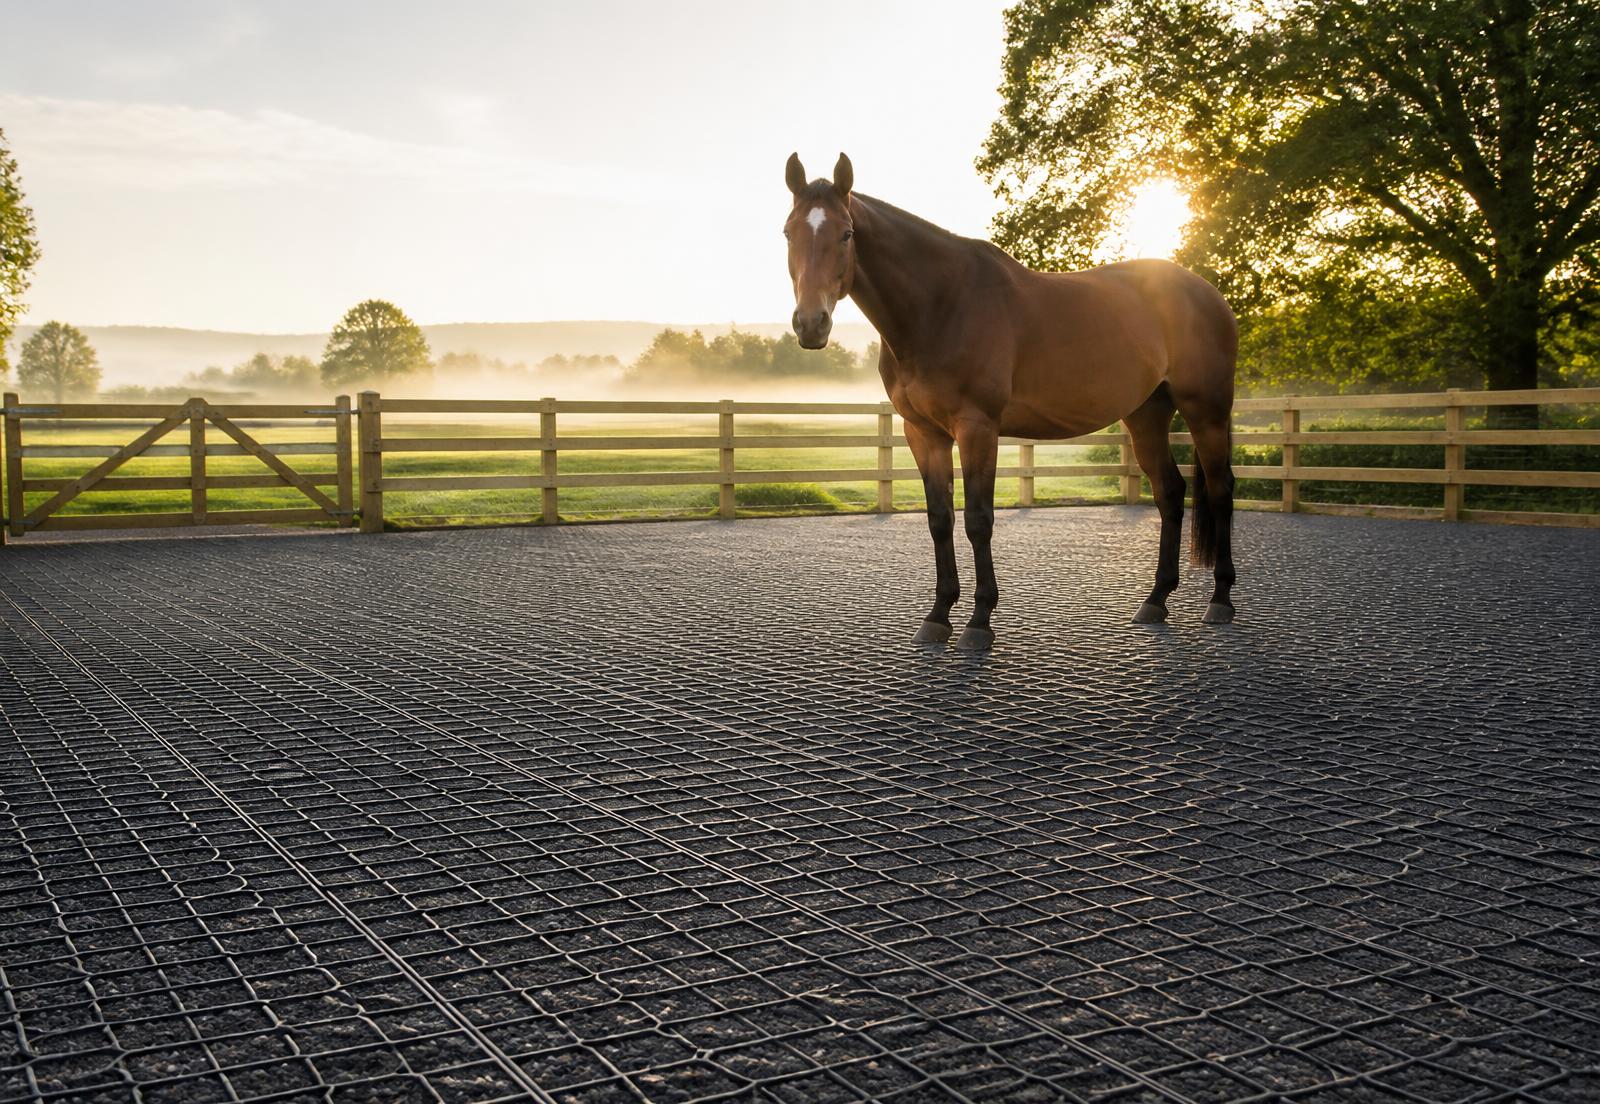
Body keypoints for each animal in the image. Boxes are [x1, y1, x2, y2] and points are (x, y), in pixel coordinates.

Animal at [782, 152, 1240, 650]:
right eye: (788, 232)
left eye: (846, 233)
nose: (811, 324)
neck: (940, 307)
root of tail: (1206, 293)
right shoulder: (923, 433)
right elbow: (939, 519)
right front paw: (938, 616)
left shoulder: (978, 427)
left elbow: (978, 519)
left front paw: (979, 621)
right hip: (1146, 415)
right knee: (1170, 492)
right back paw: (1155, 602)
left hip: (1206, 411)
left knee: (1220, 490)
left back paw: (1220, 601)